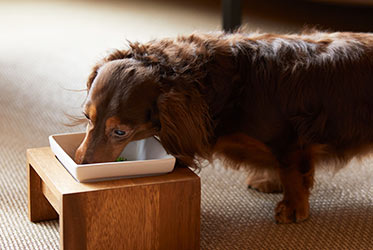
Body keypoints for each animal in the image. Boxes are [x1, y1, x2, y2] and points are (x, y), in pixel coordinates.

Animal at [74, 30, 372, 224]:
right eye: (87, 116)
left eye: (120, 132)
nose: (80, 162)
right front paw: (270, 181)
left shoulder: (290, 138)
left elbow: (291, 172)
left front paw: (293, 207)